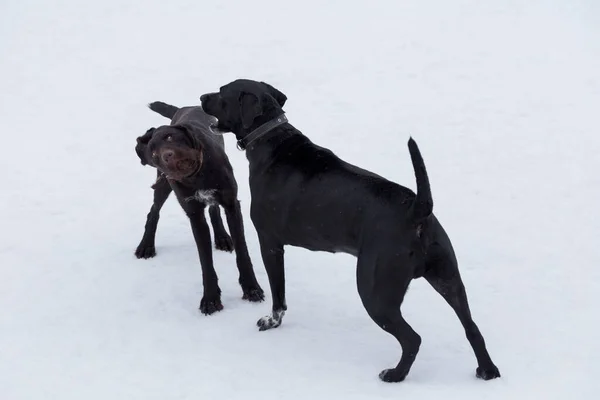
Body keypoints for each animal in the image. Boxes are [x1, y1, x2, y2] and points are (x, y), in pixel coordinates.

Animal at [137, 101, 266, 314]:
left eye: (169, 137)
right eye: (153, 153)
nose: (167, 156)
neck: (198, 176)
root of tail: (183, 108)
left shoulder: (232, 205)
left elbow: (242, 252)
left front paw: (252, 288)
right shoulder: (195, 214)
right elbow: (205, 260)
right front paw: (211, 299)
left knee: (214, 210)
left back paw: (222, 237)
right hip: (163, 184)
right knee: (153, 211)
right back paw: (146, 245)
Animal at [199, 79, 500, 382]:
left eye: (222, 92)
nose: (201, 97)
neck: (271, 138)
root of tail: (417, 210)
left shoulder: (269, 242)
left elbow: (278, 295)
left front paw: (272, 321)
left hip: (375, 292)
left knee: (412, 339)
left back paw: (395, 375)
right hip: (448, 278)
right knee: (472, 328)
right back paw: (487, 371)